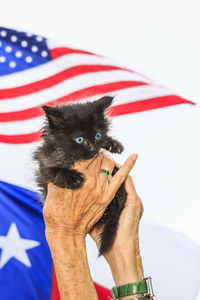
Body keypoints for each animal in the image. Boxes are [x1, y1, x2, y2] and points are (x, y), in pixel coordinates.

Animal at [32, 96, 126, 255]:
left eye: (97, 136)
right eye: (79, 139)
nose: (93, 149)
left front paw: (112, 144)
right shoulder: (44, 162)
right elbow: (54, 170)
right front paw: (73, 178)